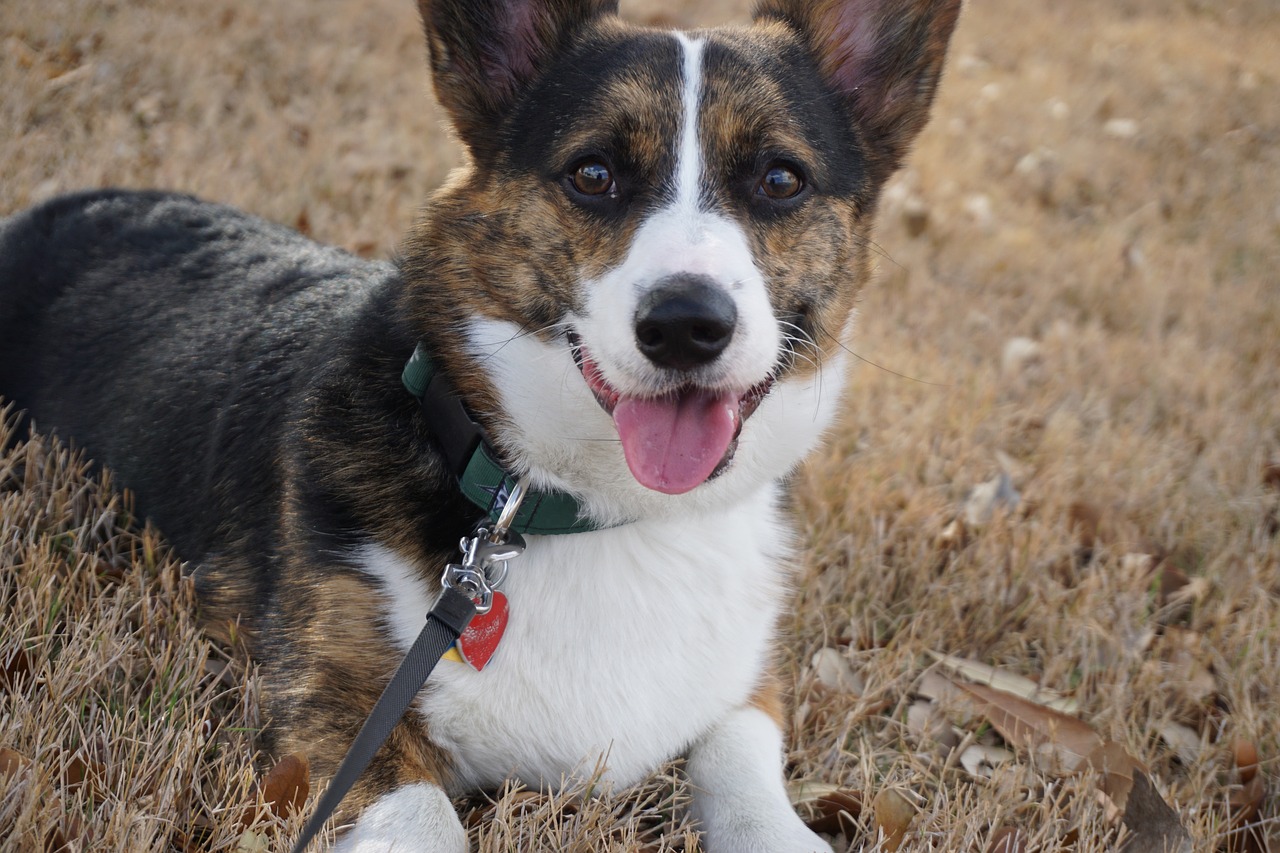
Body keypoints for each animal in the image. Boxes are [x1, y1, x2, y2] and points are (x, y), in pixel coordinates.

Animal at [0, 1, 962, 845]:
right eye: (594, 173)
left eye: (779, 179)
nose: (687, 324)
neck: (600, 513)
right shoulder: (333, 709)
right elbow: (424, 816)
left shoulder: (745, 688)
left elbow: (745, 769)